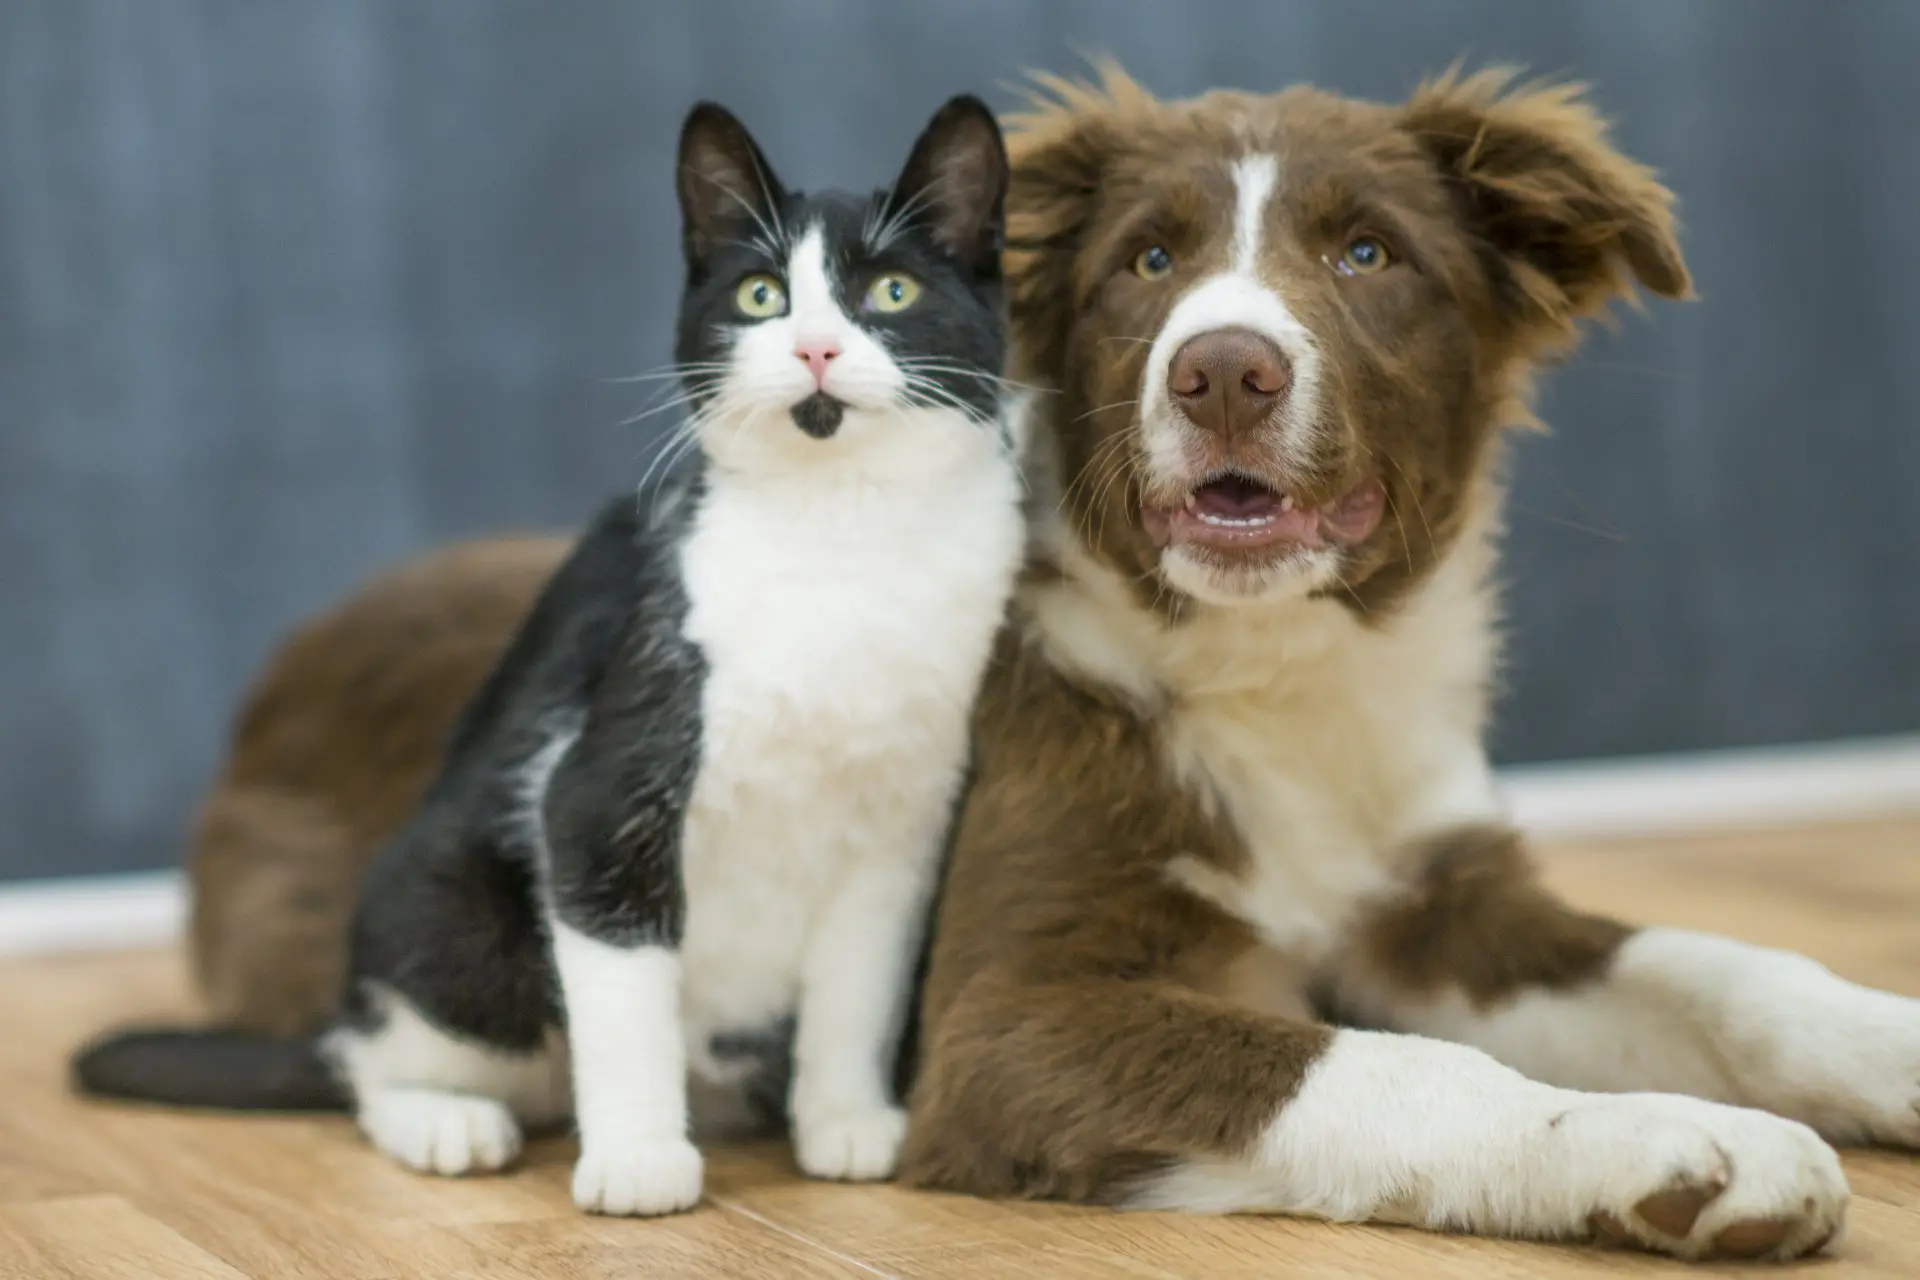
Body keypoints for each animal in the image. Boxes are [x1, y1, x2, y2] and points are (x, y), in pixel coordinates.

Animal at [894, 67, 1920, 1258]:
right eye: (1146, 261)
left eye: (1367, 253)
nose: (1223, 372)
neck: (1280, 667)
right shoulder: (1002, 1014)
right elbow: (1393, 1067)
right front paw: (1663, 1137)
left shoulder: (1439, 906)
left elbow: (1716, 965)